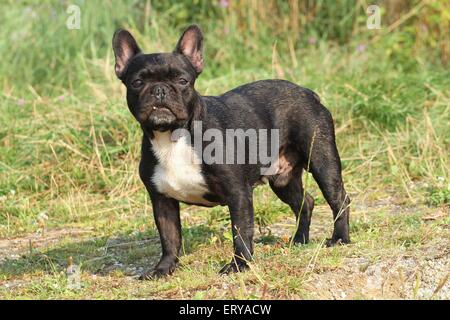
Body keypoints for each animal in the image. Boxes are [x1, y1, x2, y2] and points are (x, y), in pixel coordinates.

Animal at [110, 25, 350, 278]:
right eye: (137, 82)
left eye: (183, 80)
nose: (159, 90)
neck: (173, 136)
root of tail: (307, 92)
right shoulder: (162, 200)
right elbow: (169, 237)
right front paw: (163, 268)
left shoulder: (238, 193)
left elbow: (241, 232)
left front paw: (239, 265)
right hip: (282, 180)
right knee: (305, 203)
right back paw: (299, 240)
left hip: (322, 161)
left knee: (339, 199)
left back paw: (339, 238)